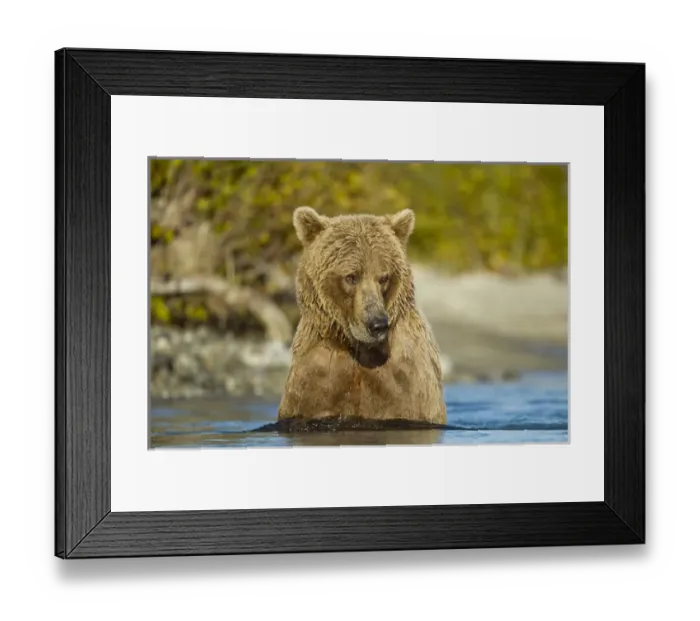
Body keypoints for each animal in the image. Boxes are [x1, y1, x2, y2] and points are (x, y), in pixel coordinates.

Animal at [277, 206, 447, 428]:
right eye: (351, 277)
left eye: (384, 277)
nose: (377, 324)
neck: (359, 349)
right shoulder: (316, 377)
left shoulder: (407, 380)